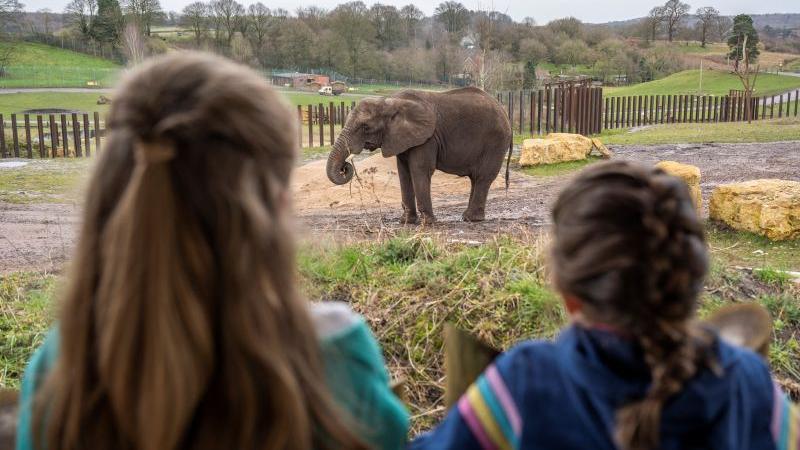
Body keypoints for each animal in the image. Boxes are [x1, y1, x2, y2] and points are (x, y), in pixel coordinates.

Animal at [324, 87, 512, 224]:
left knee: (482, 177)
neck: (390, 102)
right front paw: (407, 222)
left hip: (495, 143)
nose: (345, 166)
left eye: (365, 127)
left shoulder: (427, 139)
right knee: (476, 179)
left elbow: (420, 170)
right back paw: (467, 217)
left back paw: (472, 219)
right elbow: (404, 172)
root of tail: (505, 114)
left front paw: (428, 222)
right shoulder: (401, 138)